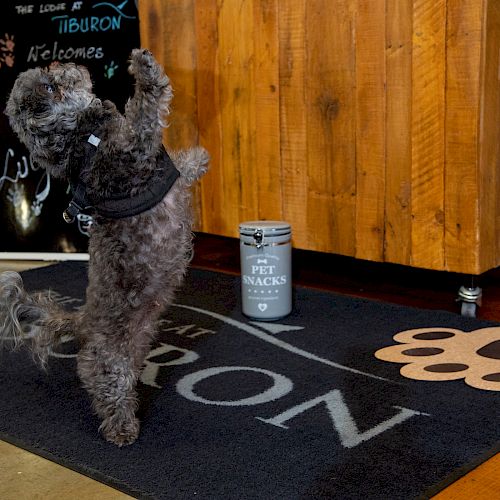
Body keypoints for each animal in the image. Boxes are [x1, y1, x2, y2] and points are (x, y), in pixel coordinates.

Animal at [0, 47, 208, 446]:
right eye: (49, 86)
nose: (63, 64)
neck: (83, 140)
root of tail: (81, 321)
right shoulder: (134, 152)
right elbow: (147, 108)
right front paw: (146, 69)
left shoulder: (157, 165)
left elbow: (178, 162)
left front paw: (198, 159)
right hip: (107, 360)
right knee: (107, 388)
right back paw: (121, 427)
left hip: (136, 341)